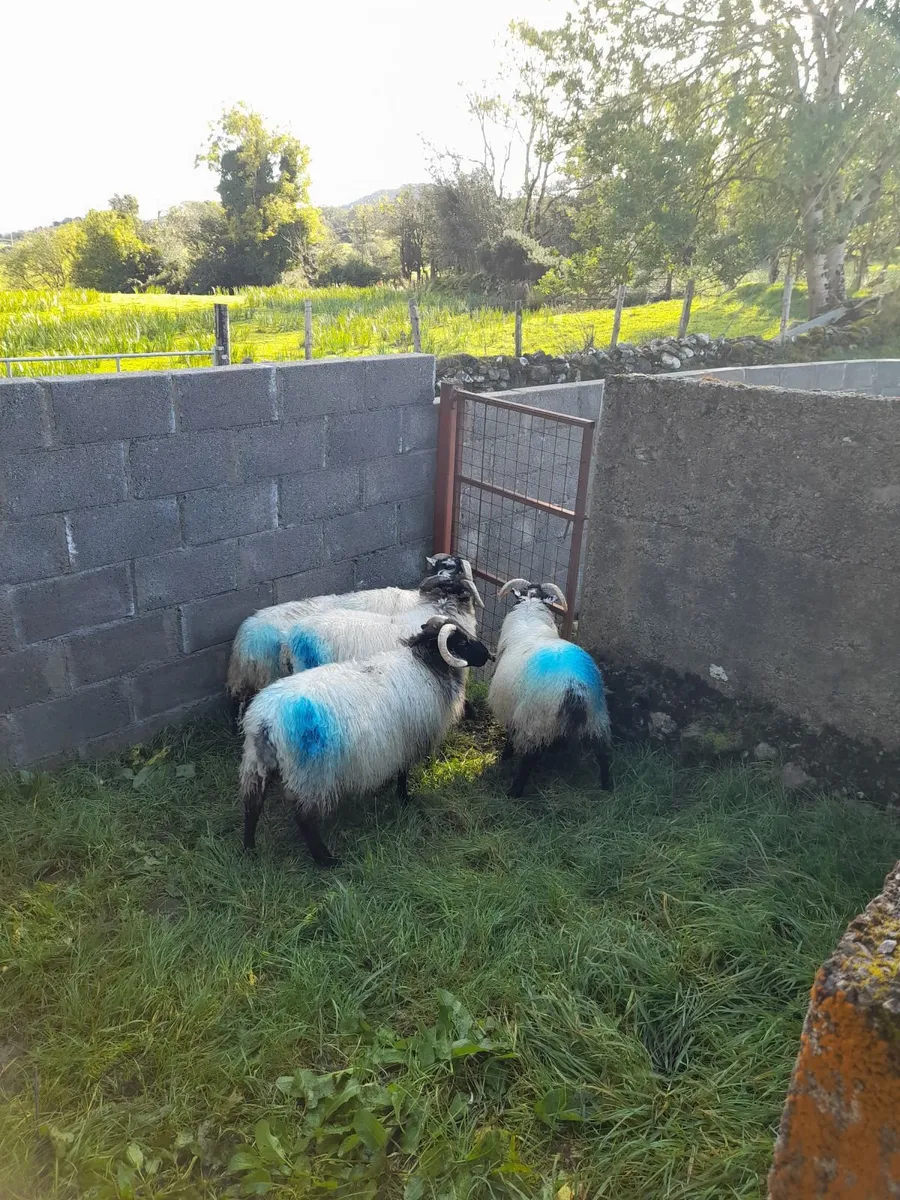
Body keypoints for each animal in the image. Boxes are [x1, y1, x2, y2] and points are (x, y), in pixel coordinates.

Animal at [240, 616, 492, 865]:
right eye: (462, 643)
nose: (489, 655)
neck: (426, 666)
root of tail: (266, 720)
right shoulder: (407, 741)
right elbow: (403, 773)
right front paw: (404, 799)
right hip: (311, 774)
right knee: (304, 818)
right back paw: (325, 860)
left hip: (256, 761)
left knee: (252, 806)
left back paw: (250, 849)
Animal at [488, 578, 612, 798]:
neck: (529, 618)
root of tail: (573, 687)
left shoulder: (515, 711)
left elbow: (510, 736)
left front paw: (505, 756)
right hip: (597, 716)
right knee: (603, 752)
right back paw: (607, 786)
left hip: (535, 721)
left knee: (529, 759)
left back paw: (514, 791)